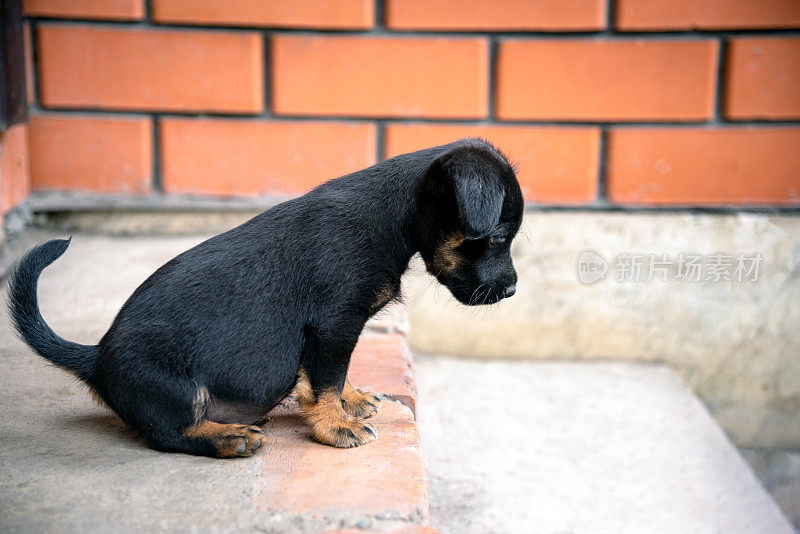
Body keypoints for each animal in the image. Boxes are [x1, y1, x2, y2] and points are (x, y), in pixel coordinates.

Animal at [12, 139, 528, 460]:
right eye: (498, 236)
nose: (512, 290)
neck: (392, 216)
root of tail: (95, 356)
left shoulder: (328, 333)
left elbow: (326, 376)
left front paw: (349, 400)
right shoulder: (336, 322)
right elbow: (326, 379)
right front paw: (334, 425)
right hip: (174, 387)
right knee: (169, 434)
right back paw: (228, 438)